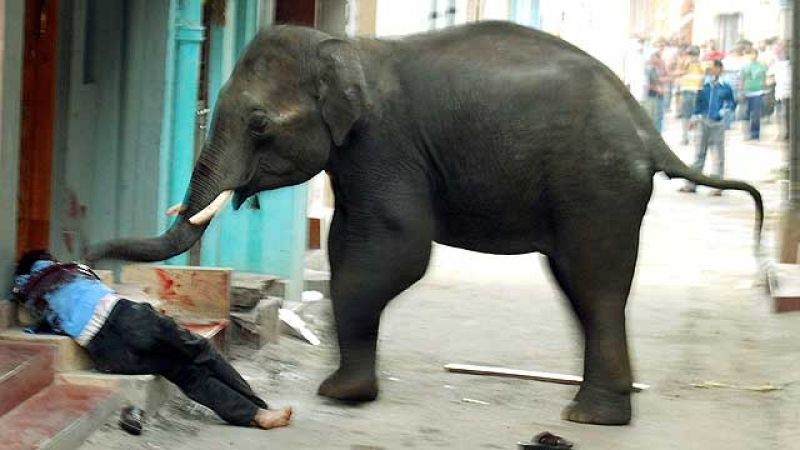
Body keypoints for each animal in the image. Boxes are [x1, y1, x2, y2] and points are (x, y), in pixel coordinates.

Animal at [87, 21, 763, 426]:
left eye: (258, 125)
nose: (89, 258)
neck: (343, 48)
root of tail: (645, 127)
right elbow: (350, 246)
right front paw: (345, 384)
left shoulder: (384, 144)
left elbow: (392, 251)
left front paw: (338, 394)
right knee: (586, 286)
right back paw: (600, 415)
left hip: (595, 181)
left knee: (593, 283)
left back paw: (588, 418)